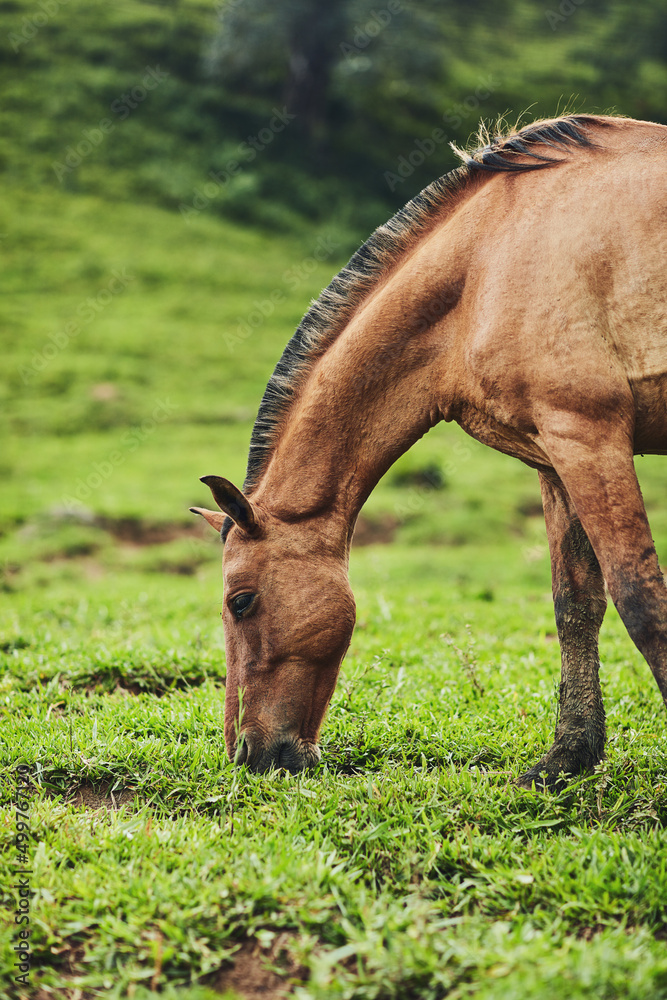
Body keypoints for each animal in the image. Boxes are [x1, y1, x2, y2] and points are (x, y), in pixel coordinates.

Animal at [190, 115, 667, 788]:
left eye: (241, 601)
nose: (249, 755)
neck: (484, 267)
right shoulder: (555, 457)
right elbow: (576, 603)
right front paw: (566, 758)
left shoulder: (588, 434)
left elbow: (641, 598)